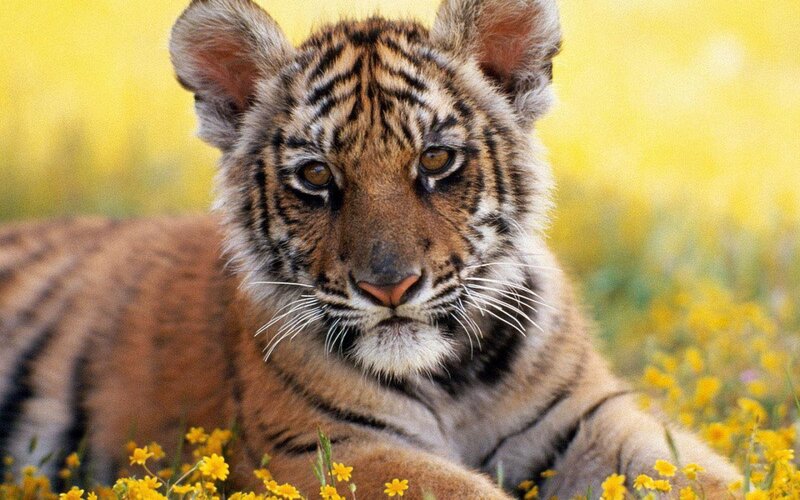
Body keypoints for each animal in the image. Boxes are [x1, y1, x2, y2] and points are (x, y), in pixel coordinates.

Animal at [0, 0, 741, 497]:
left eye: (436, 160)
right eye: (316, 176)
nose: (390, 287)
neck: (452, 379)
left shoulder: (592, 419)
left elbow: (707, 476)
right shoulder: (327, 450)